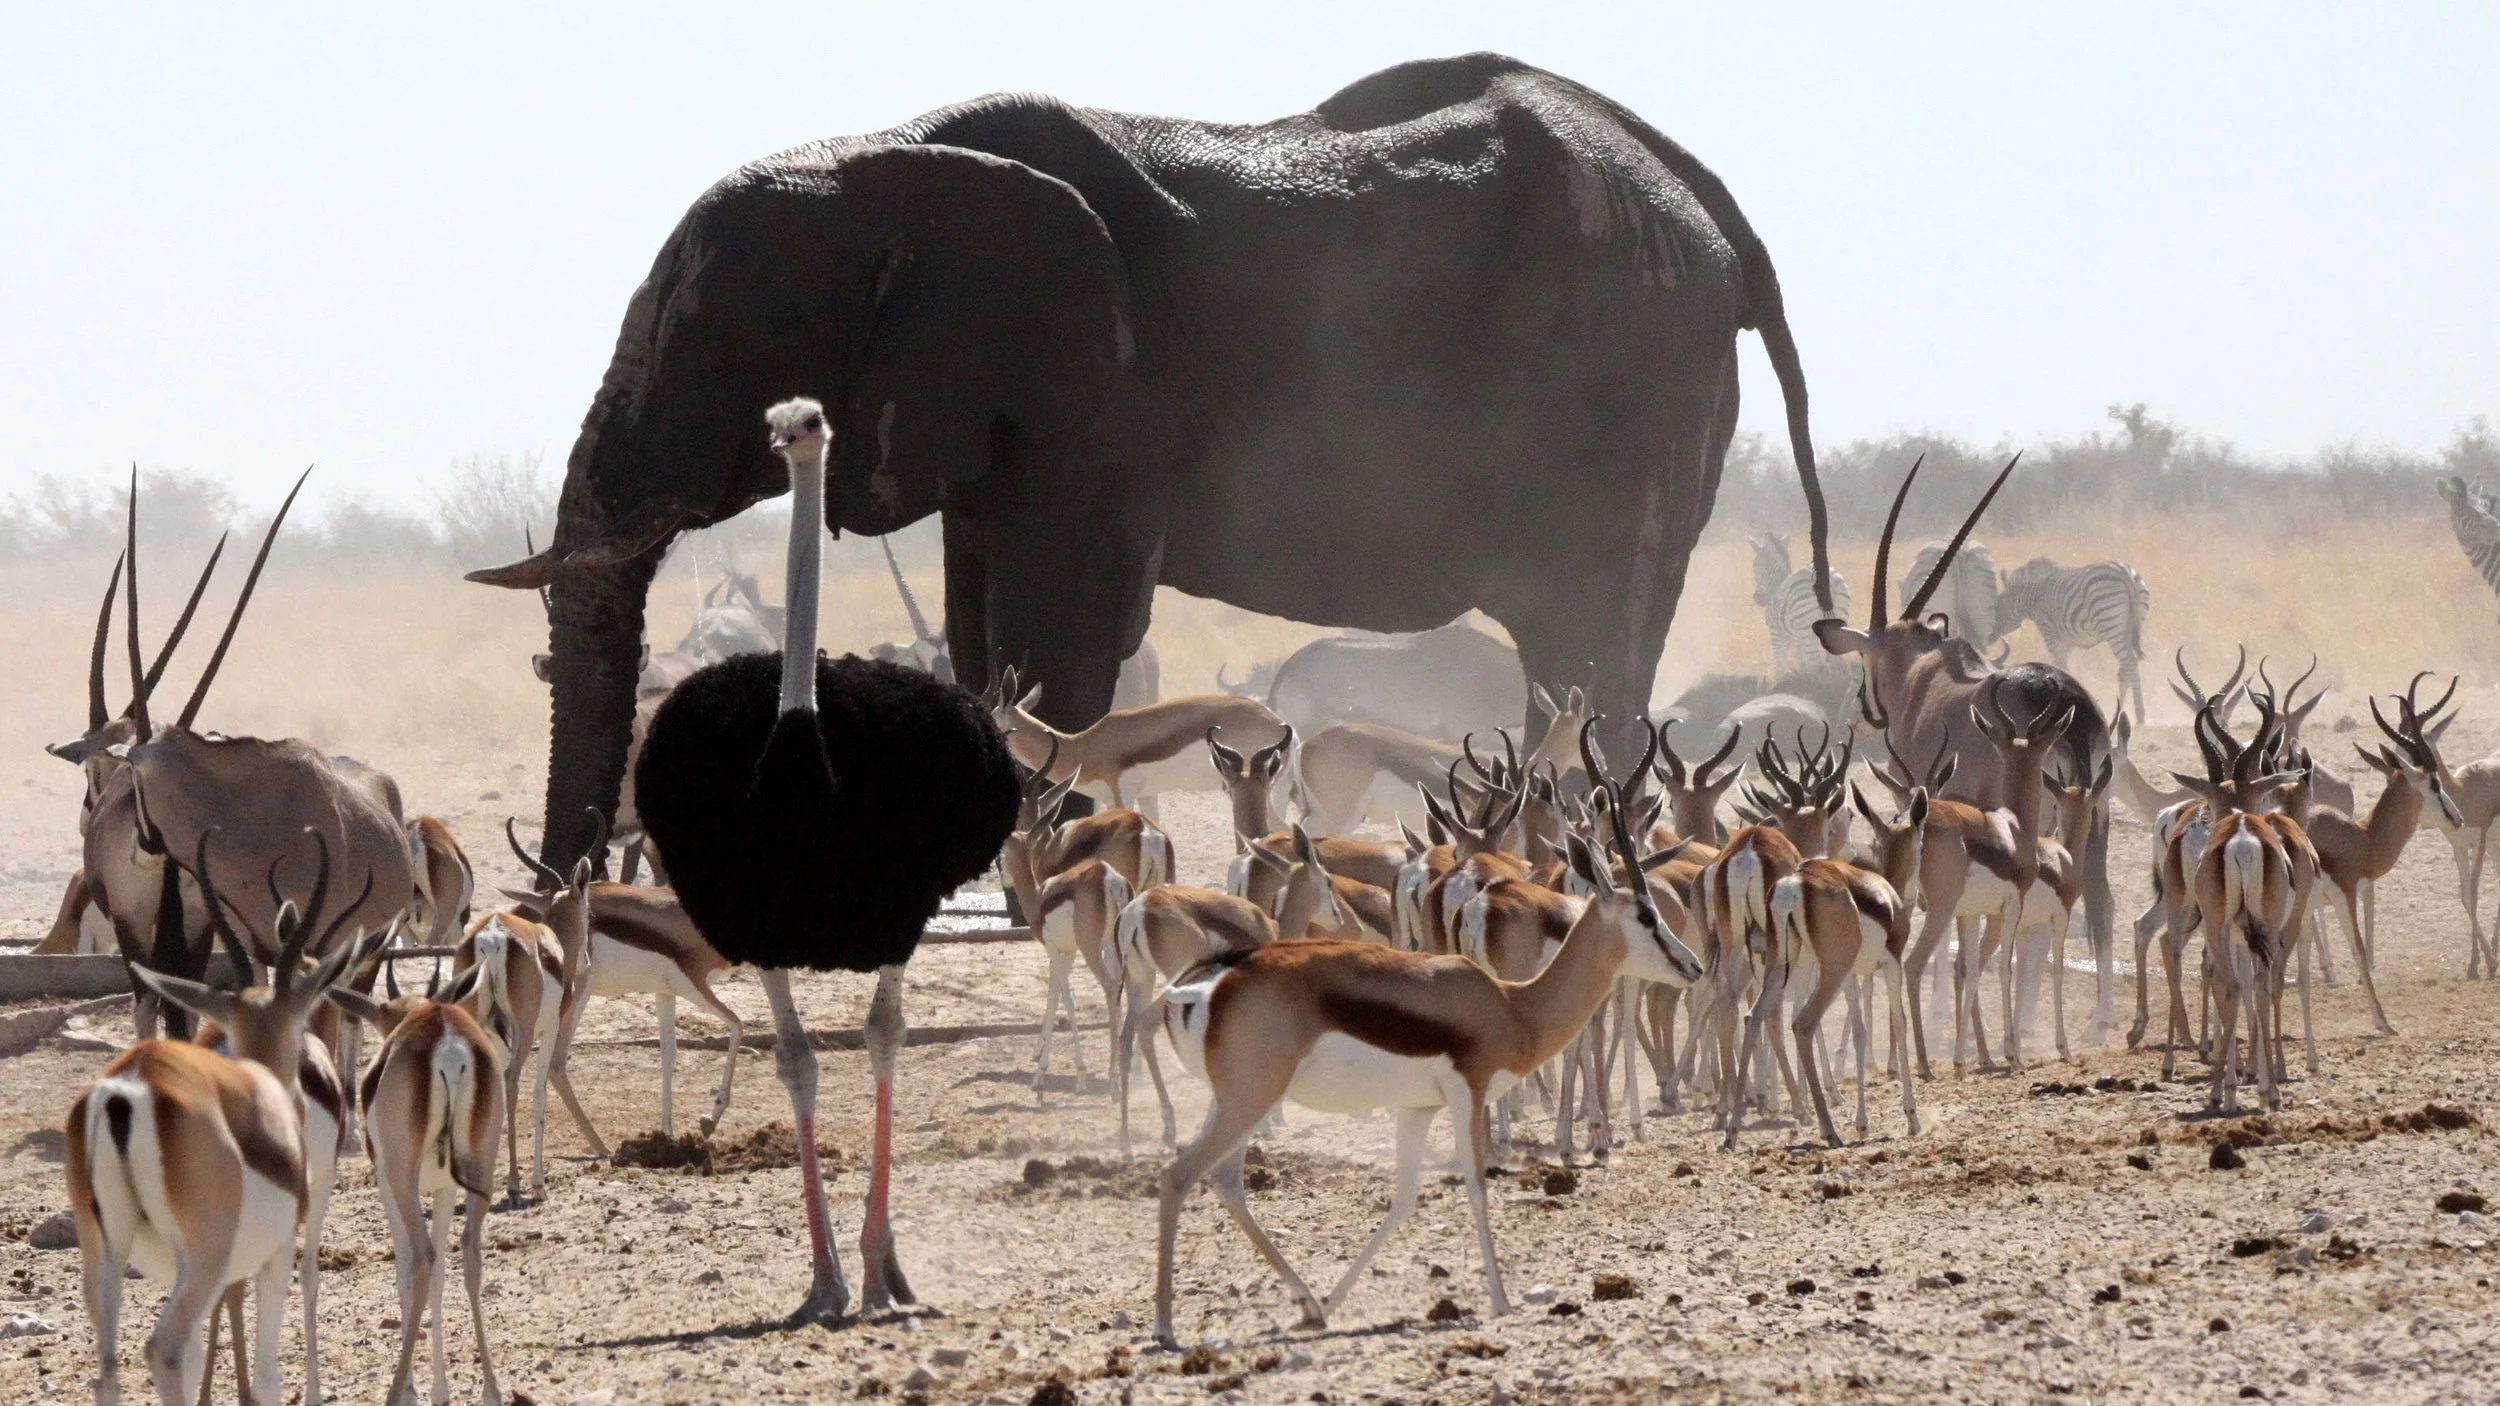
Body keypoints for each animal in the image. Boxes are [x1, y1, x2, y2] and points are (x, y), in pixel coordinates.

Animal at [470, 52, 1833, 866]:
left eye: (712, 352)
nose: (561, 882)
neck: (889, 160)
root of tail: (1710, 205)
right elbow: (985, 634)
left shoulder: (1103, 400)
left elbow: (1064, 640)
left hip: (1631, 383)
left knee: (1592, 644)